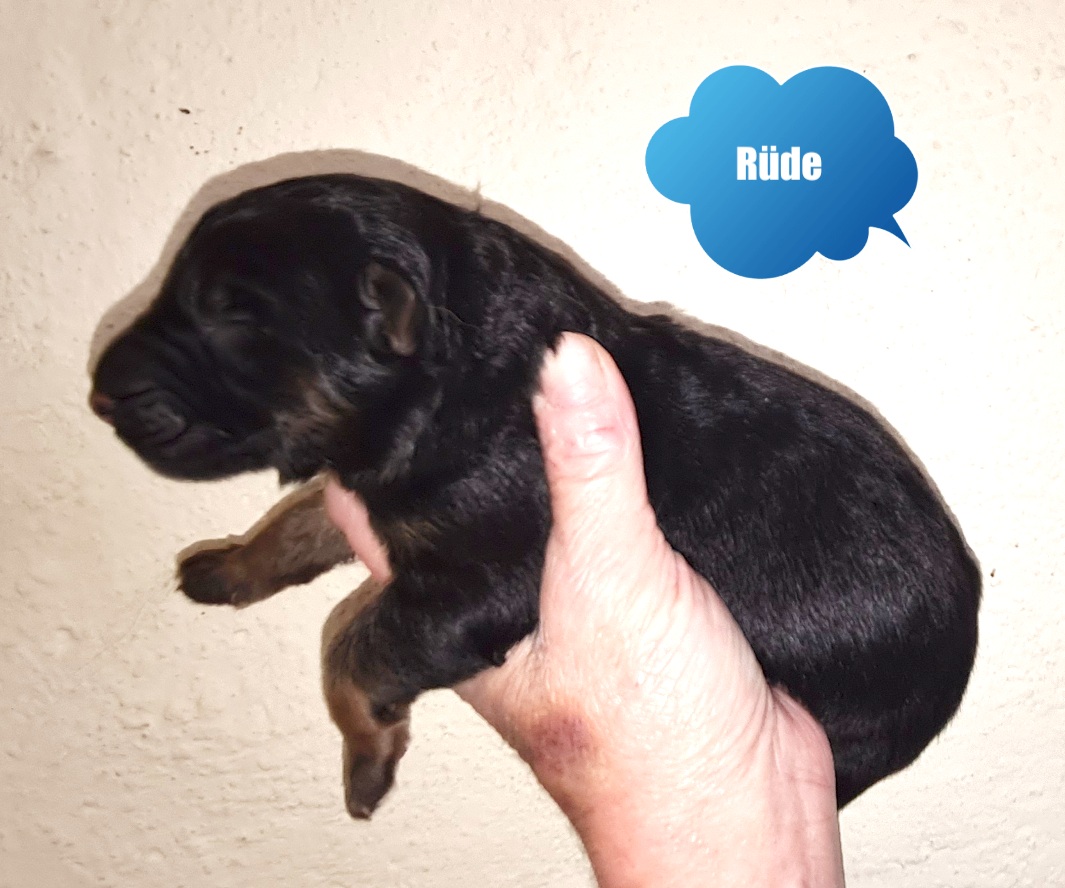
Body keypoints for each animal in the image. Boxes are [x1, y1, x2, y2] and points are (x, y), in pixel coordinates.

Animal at [90, 173, 981, 818]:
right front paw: (226, 567)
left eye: (235, 317)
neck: (452, 370)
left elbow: (350, 647)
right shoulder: (382, 492)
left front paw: (366, 765)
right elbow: (299, 521)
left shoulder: (480, 575)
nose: (99, 395)